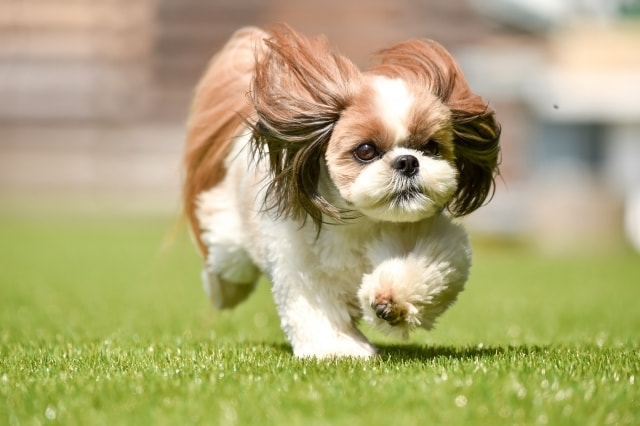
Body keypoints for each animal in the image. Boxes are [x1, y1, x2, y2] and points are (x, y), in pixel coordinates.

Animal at [182, 24, 500, 358]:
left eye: (430, 147)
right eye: (365, 150)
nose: (407, 161)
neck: (361, 222)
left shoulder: (434, 238)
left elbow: (433, 266)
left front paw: (390, 303)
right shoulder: (300, 264)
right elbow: (317, 310)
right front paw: (338, 349)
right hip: (231, 236)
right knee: (225, 261)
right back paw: (223, 290)